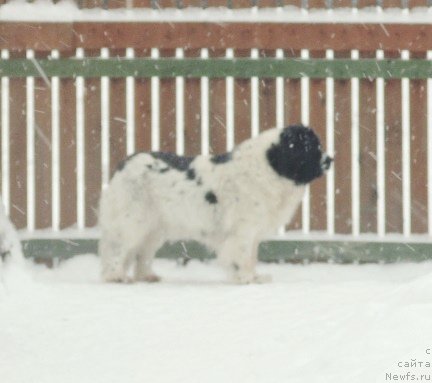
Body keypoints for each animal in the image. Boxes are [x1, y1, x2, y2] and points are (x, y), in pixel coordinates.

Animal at [99, 124, 332, 284]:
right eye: (309, 149)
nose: (330, 160)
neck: (270, 166)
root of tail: (123, 164)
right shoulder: (243, 231)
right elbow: (242, 256)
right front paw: (246, 279)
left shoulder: (253, 233)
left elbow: (252, 257)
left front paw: (255, 277)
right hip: (132, 222)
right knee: (117, 248)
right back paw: (115, 276)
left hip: (154, 229)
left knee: (142, 253)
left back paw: (147, 276)